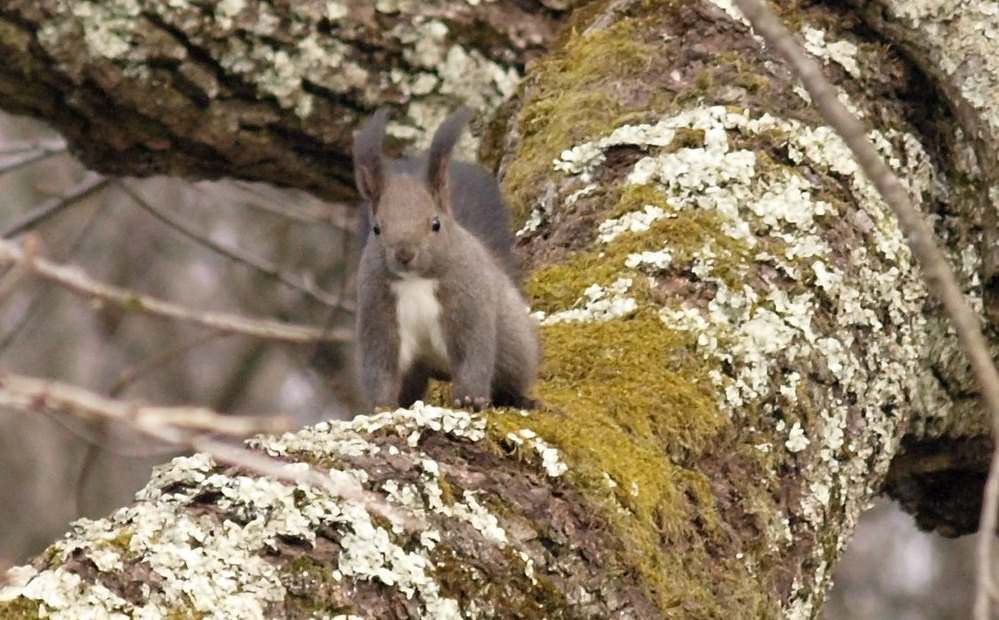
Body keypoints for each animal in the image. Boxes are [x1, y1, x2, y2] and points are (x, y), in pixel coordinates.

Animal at [352, 108, 540, 412]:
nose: (404, 254)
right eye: (376, 228)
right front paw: (382, 407)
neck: (415, 281)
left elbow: (473, 355)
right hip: (416, 369)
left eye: (435, 224)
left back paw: (520, 399)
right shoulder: (377, 313)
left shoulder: (469, 304)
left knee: (508, 379)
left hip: (514, 347)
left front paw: (471, 399)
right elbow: (380, 365)